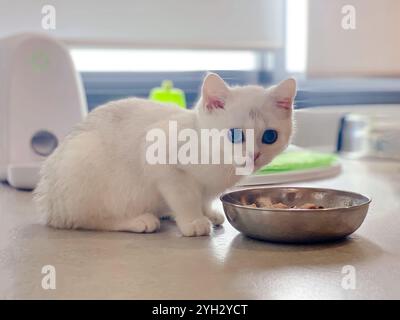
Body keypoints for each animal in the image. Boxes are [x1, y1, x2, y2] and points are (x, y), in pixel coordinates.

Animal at [34, 74, 296, 236]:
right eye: (234, 135)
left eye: (270, 136)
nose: (255, 154)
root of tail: (47, 203)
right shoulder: (158, 155)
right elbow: (185, 196)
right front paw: (192, 220)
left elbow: (203, 198)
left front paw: (207, 212)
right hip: (85, 158)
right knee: (87, 219)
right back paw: (138, 220)